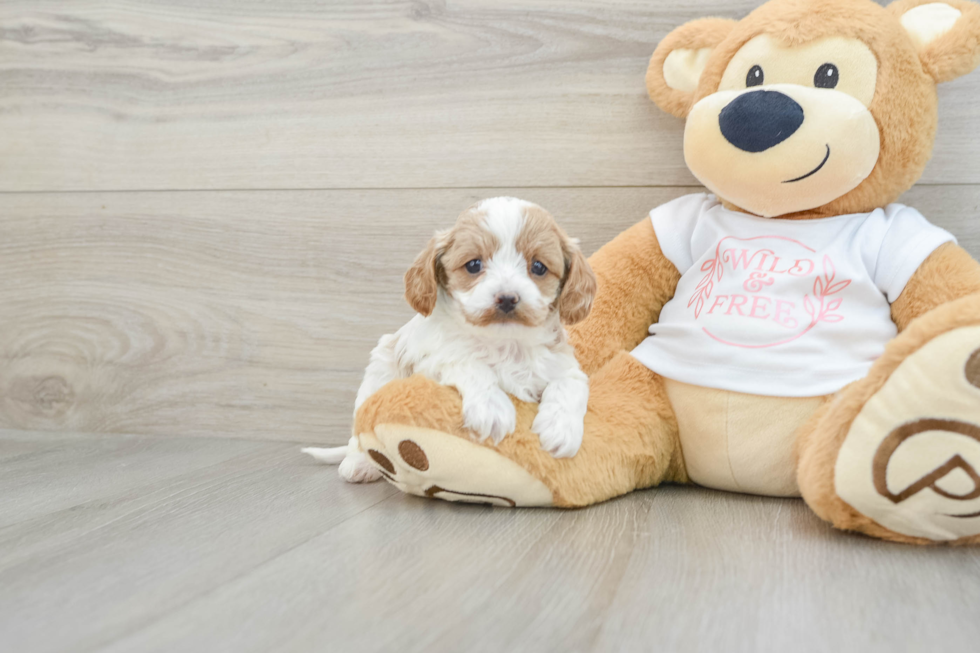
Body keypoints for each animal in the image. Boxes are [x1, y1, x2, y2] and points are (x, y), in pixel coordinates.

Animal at [306, 196, 596, 482]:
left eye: (538, 267)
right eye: (474, 265)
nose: (507, 298)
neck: (504, 343)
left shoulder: (563, 364)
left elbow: (570, 385)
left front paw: (561, 429)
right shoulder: (430, 361)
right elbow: (469, 364)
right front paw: (491, 408)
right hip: (376, 378)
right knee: (358, 434)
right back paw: (358, 463)